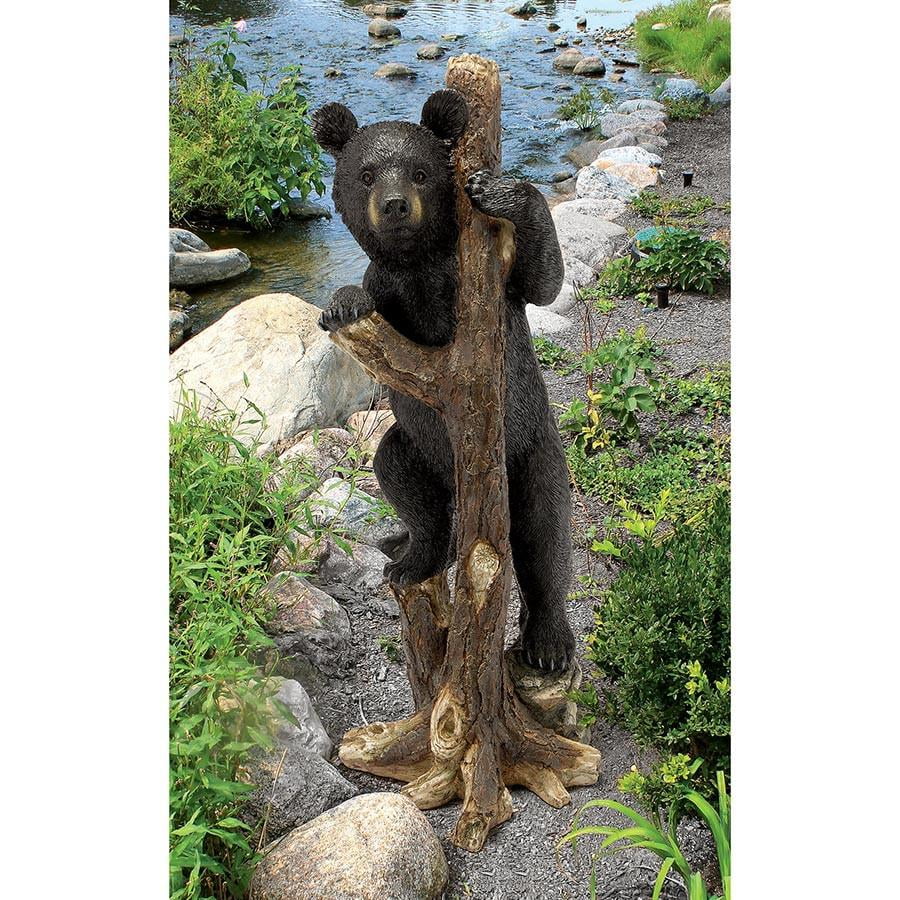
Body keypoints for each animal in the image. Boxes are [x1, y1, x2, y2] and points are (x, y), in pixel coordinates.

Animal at [312, 89, 575, 672]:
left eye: (419, 171)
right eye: (366, 174)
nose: (394, 205)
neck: (421, 263)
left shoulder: (492, 280)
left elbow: (543, 279)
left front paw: (499, 190)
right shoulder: (395, 290)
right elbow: (372, 319)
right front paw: (341, 302)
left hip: (530, 449)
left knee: (545, 532)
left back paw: (548, 642)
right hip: (420, 447)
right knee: (402, 479)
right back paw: (410, 558)